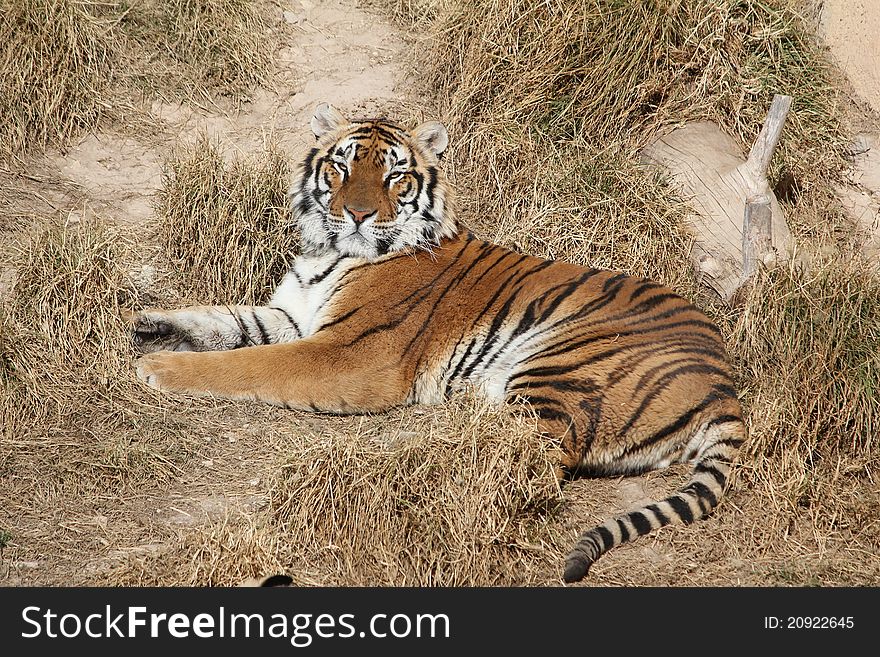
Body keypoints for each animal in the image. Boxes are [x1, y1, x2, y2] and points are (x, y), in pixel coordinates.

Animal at [134, 104, 744, 584]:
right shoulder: (294, 315)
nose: (357, 213)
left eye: (393, 176)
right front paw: (151, 325)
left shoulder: (349, 353)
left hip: (558, 363)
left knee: (534, 456)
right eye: (342, 165)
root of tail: (724, 380)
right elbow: (226, 319)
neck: (327, 253)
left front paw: (158, 368)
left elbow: (249, 362)